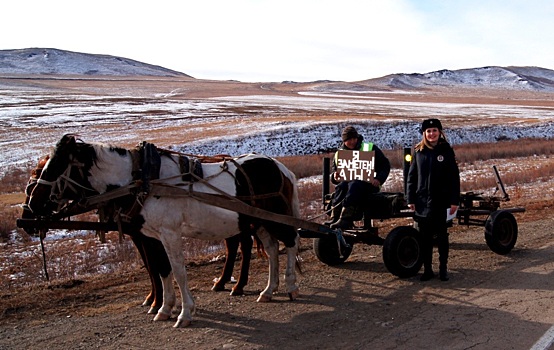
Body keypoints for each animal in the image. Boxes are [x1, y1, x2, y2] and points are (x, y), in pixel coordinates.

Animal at [27, 135, 300, 328]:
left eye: (54, 167)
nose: (31, 208)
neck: (144, 180)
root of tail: (281, 168)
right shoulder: (152, 236)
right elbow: (161, 269)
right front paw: (164, 308)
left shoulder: (170, 234)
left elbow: (178, 272)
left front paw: (185, 313)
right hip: (260, 221)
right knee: (273, 248)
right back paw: (268, 290)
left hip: (275, 217)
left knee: (291, 241)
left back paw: (290, 285)